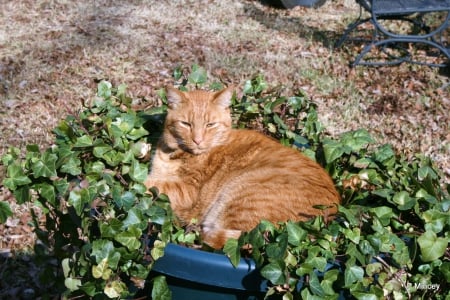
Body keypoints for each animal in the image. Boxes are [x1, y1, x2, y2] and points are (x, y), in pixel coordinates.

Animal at [146, 86, 340, 248]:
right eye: (186, 124)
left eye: (210, 125)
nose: (198, 140)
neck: (176, 154)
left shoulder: (189, 191)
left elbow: (151, 184)